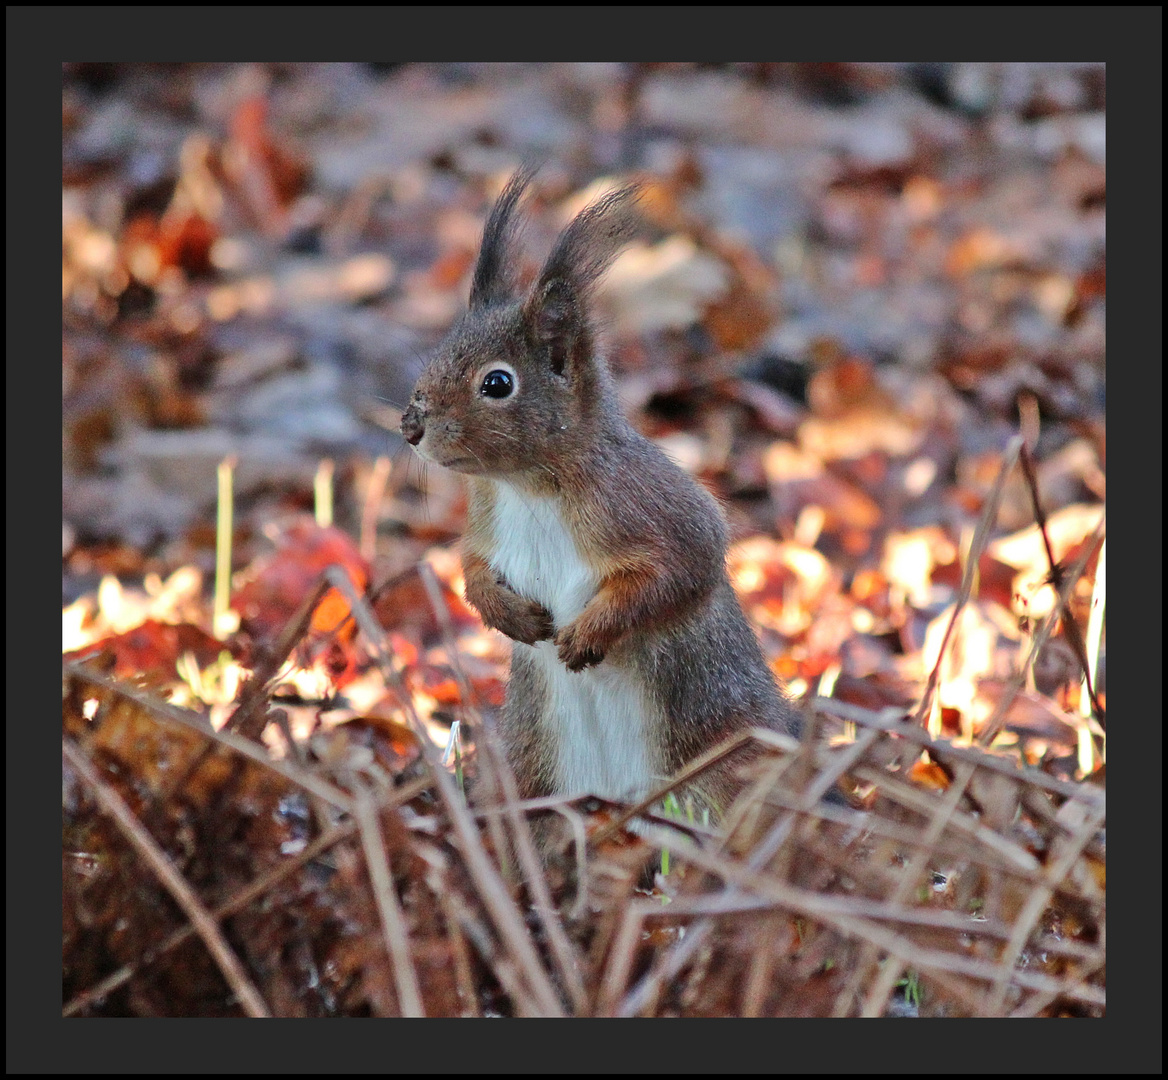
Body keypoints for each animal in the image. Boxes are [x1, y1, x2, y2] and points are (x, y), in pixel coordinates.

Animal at [404, 168, 803, 821]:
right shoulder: (485, 521)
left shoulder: (649, 507)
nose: (410, 426)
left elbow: (679, 571)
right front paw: (509, 614)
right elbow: (470, 569)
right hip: (528, 775)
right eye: (437, 354)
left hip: (726, 762)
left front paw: (587, 635)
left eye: (497, 383)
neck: (528, 488)